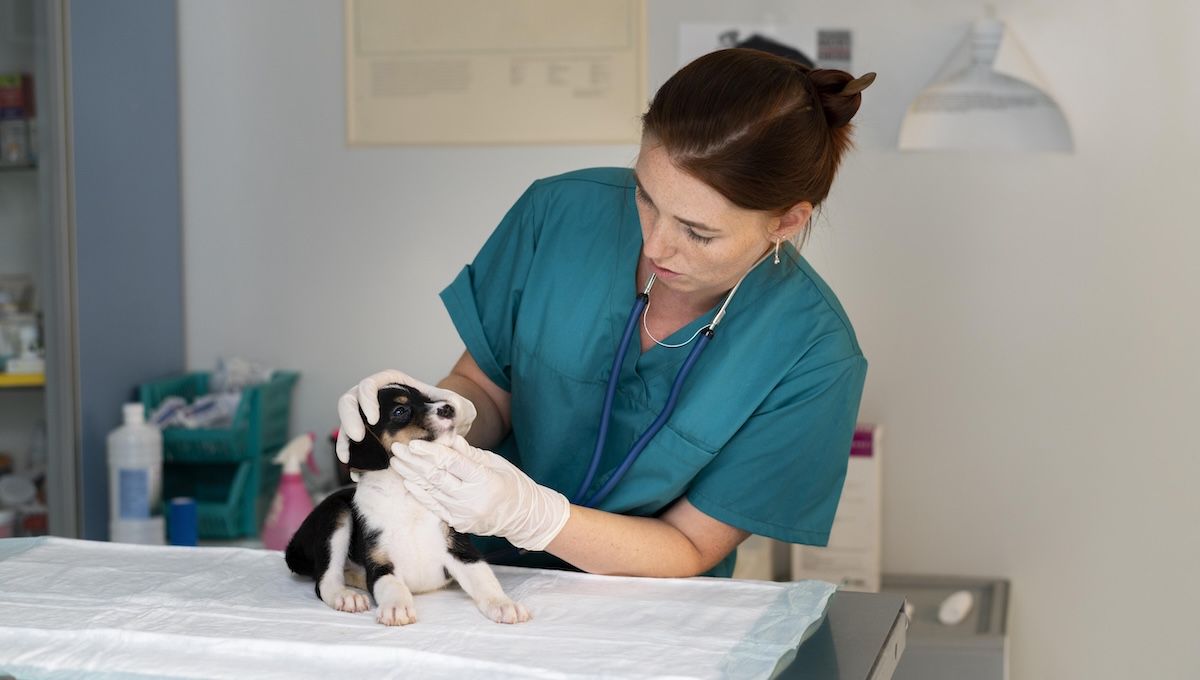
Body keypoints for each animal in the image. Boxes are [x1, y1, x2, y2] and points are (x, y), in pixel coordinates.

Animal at [285, 386, 530, 623]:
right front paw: (396, 608)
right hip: (336, 513)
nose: (449, 408)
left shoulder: (460, 550)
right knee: (325, 580)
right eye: (400, 411)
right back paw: (346, 596)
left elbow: (484, 579)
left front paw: (503, 605)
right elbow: (393, 587)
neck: (405, 493)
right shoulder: (380, 565)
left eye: (427, 399)